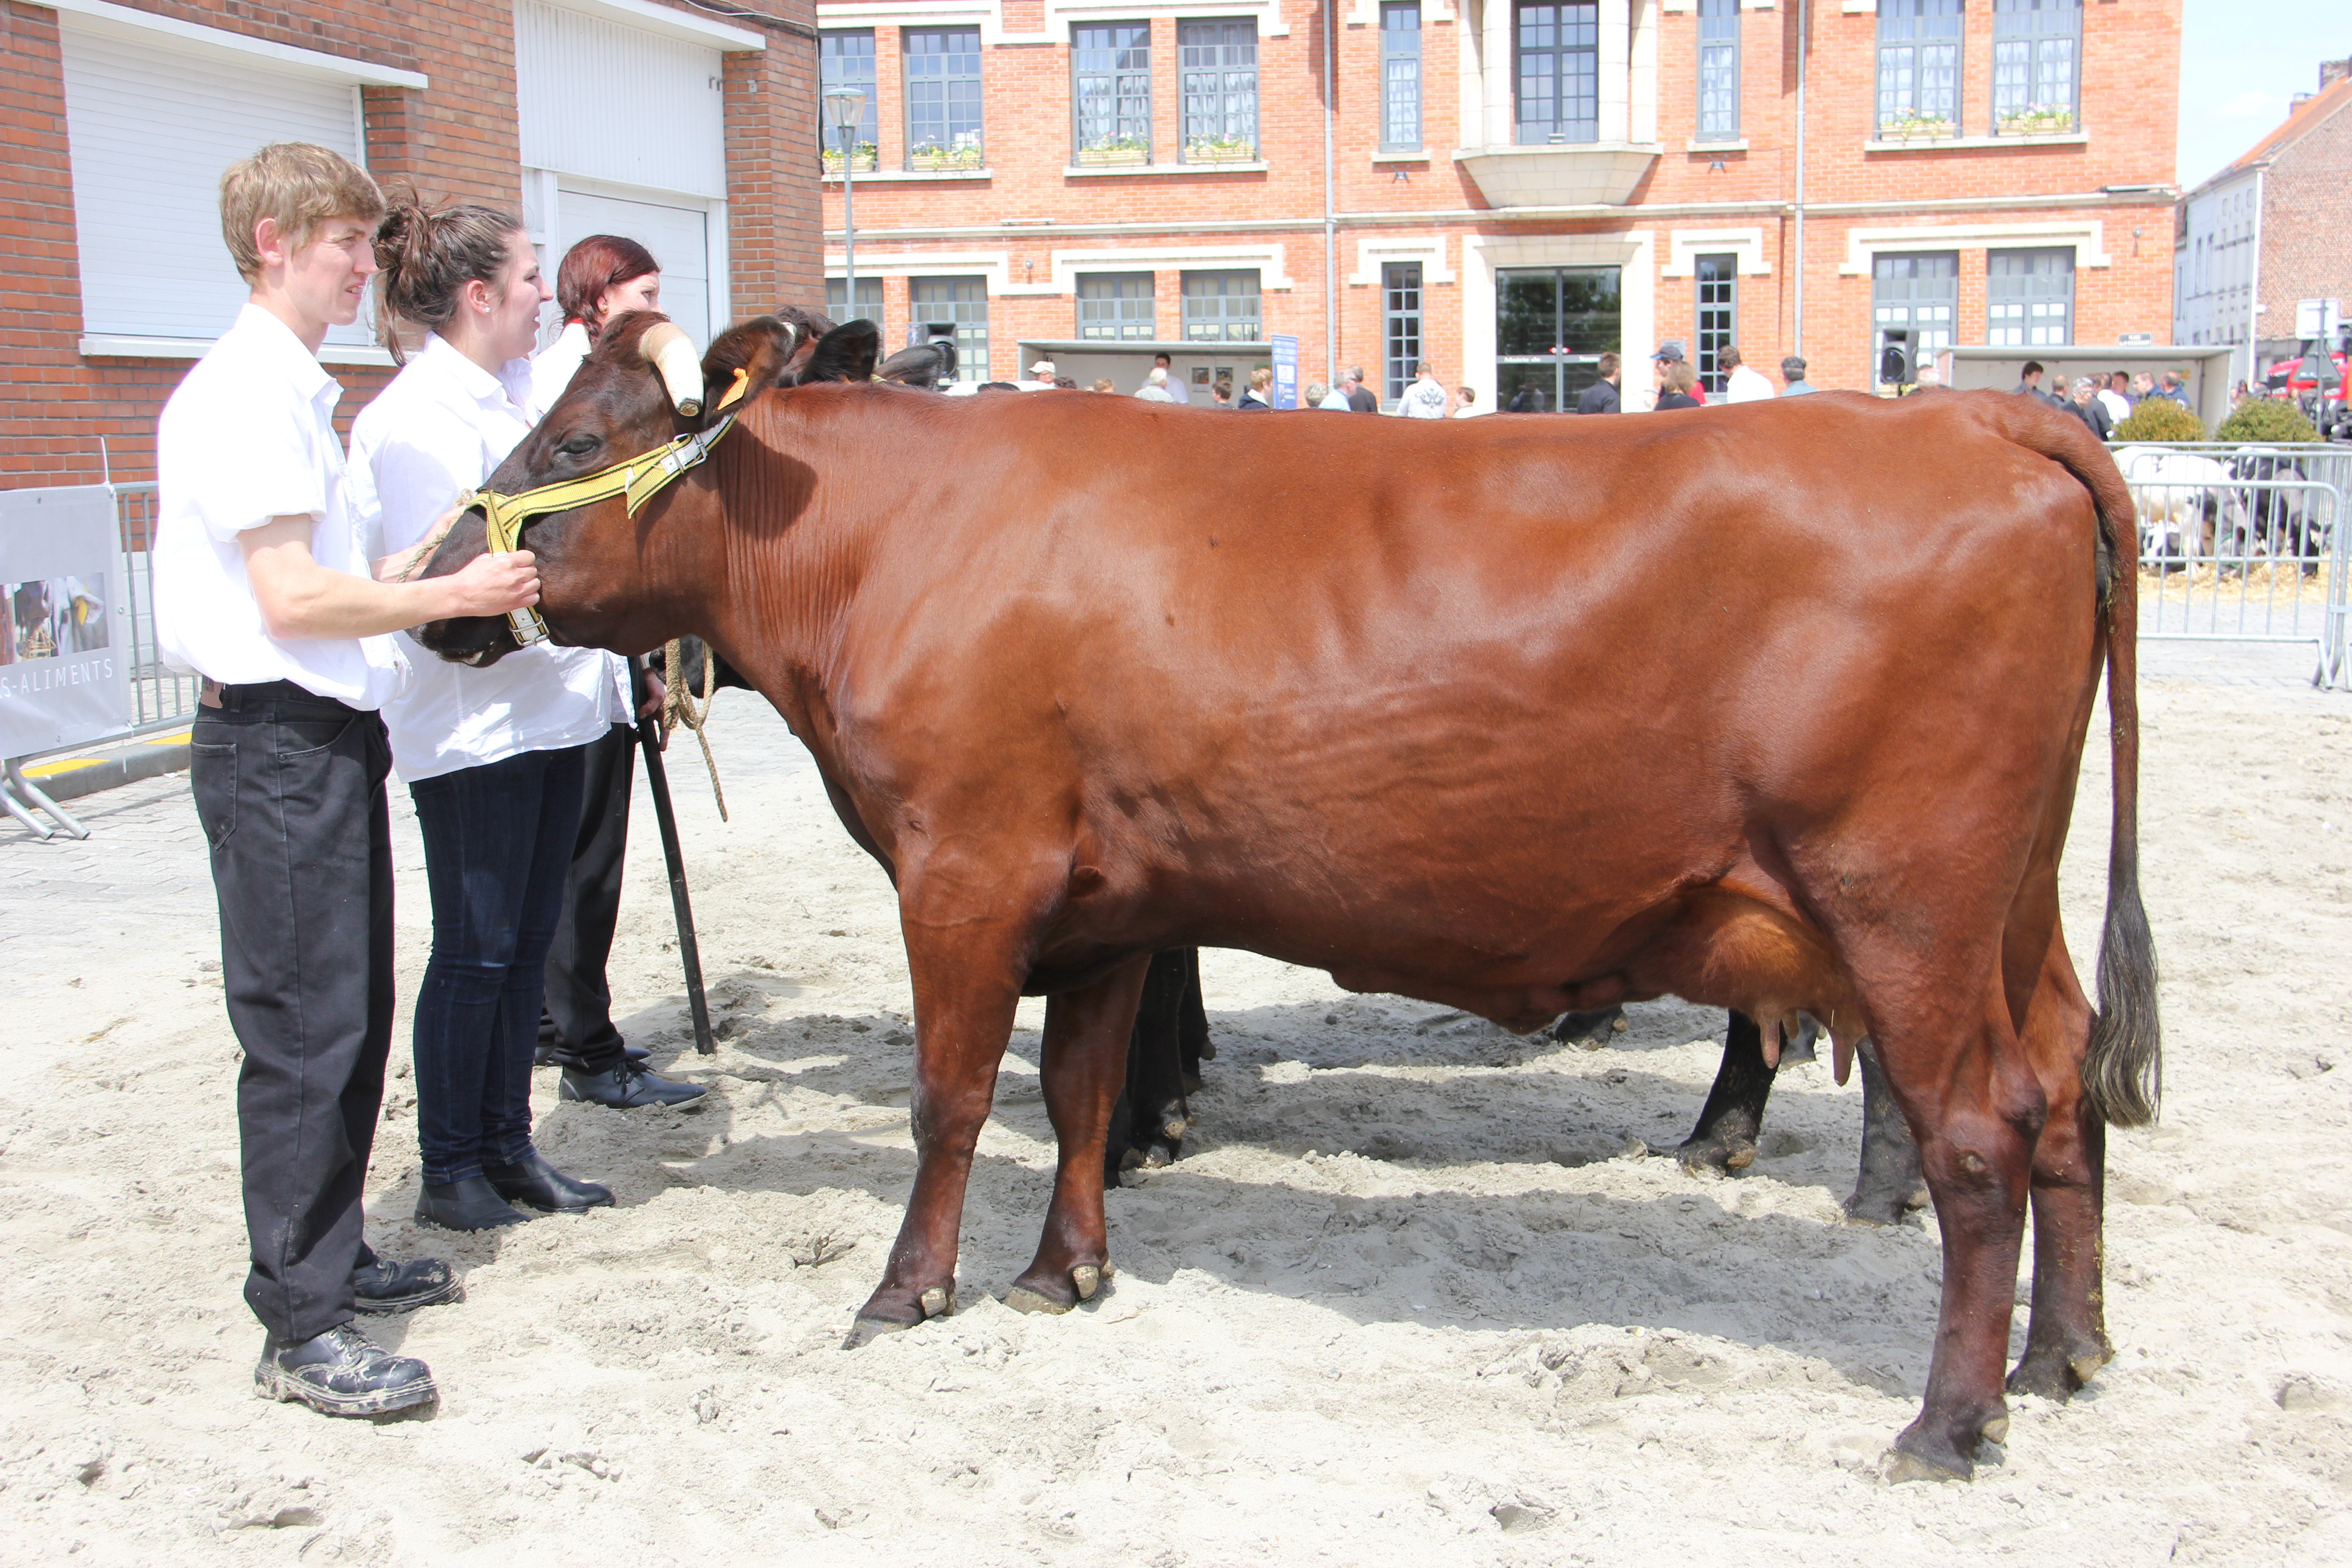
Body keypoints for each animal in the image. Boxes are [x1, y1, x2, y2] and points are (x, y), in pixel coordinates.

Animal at [419, 312, 2159, 1482]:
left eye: (569, 447)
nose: (442, 582)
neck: (896, 539)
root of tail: (1974, 423)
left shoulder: (965, 865)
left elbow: (950, 1095)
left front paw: (909, 1290)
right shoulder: (1105, 901)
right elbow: (1076, 1087)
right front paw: (1063, 1273)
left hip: (1904, 902)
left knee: (1975, 1134)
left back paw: (1948, 1417)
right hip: (2012, 906)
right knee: (2062, 1082)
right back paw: (2065, 1351)